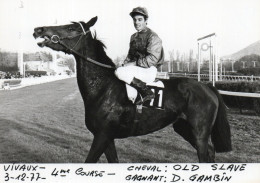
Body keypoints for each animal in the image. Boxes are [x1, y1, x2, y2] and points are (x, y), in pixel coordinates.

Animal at [33, 16, 232, 162]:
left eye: (71, 28)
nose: (39, 29)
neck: (102, 88)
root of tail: (207, 86)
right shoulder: (107, 138)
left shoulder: (102, 135)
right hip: (183, 127)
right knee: (210, 152)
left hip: (199, 131)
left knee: (205, 154)